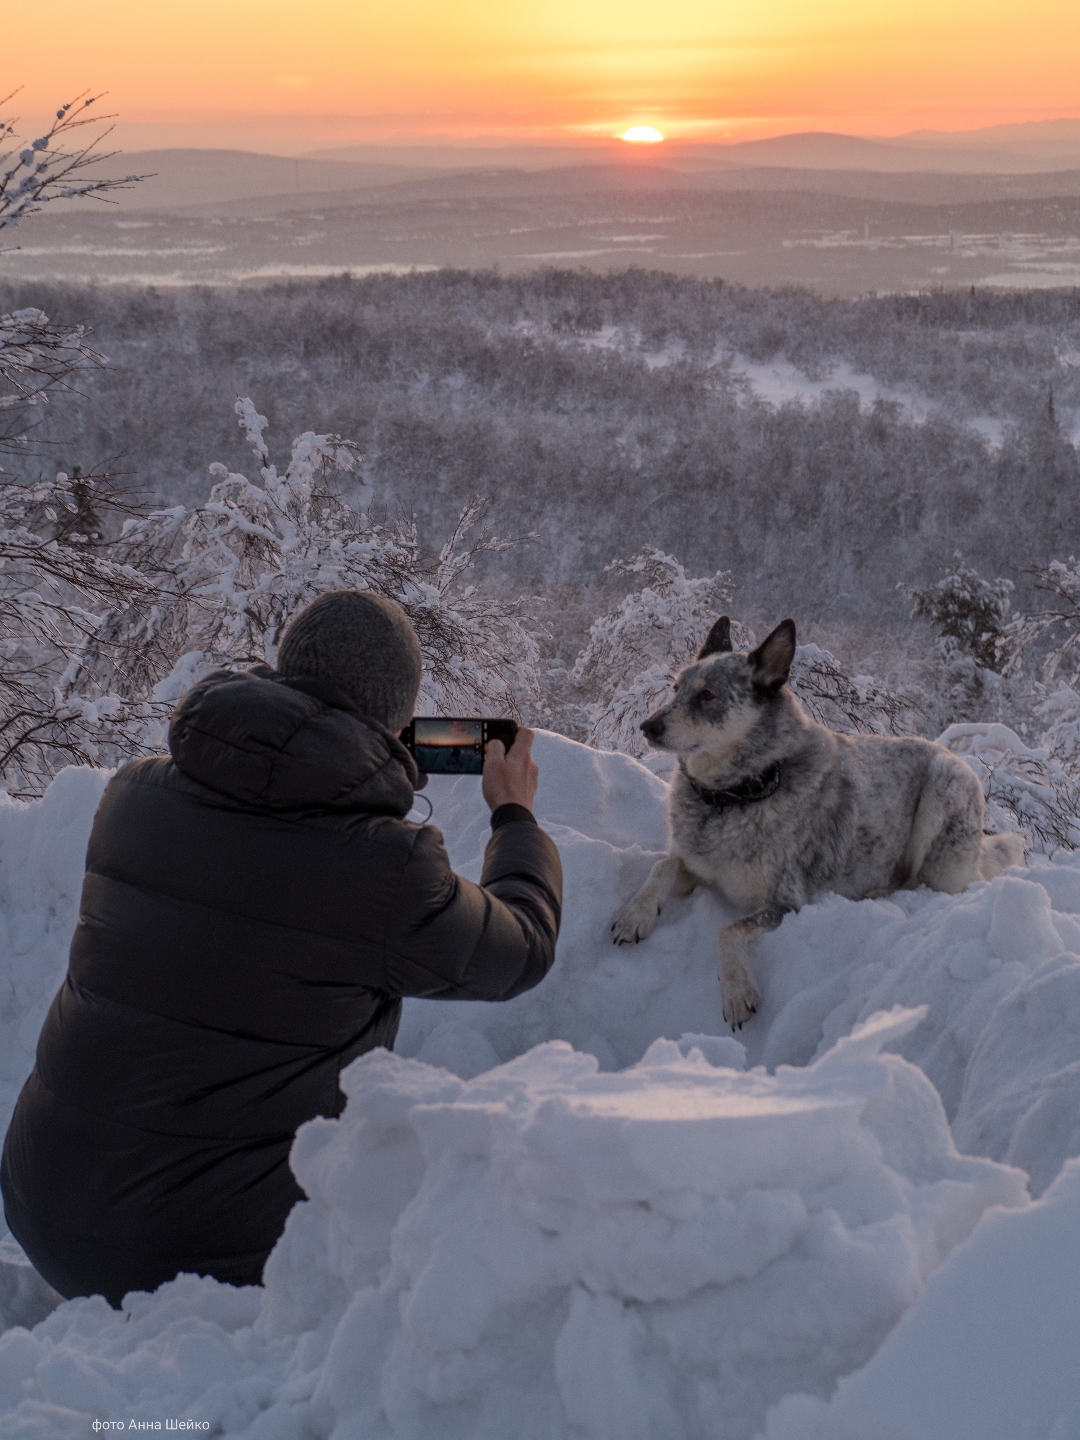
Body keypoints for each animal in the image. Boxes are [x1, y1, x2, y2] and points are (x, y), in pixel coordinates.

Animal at [613, 613, 1025, 1031]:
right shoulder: (698, 862)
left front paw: (736, 991)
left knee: (920, 882)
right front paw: (634, 915)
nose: (647, 726)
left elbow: (728, 930)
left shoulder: (786, 900)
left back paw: (876, 893)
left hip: (941, 791)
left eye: (707, 695)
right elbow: (664, 865)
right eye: (675, 687)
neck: (733, 797)